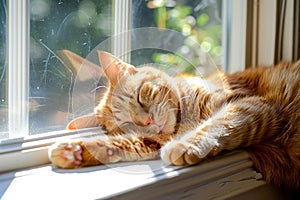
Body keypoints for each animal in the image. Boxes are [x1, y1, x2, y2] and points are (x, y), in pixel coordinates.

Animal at [49, 50, 300, 190]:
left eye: (139, 97)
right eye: (126, 124)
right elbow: (123, 144)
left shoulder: (253, 105)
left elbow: (217, 123)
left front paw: (186, 145)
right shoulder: (151, 142)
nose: (147, 122)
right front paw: (74, 151)